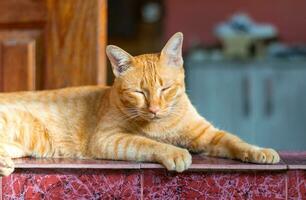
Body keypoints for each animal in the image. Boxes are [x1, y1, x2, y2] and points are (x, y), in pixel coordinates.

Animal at [0, 32, 280, 176]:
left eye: (165, 89)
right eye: (139, 93)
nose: (154, 109)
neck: (163, 124)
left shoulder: (208, 134)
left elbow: (235, 140)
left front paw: (260, 151)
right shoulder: (109, 138)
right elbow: (148, 143)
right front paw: (175, 152)